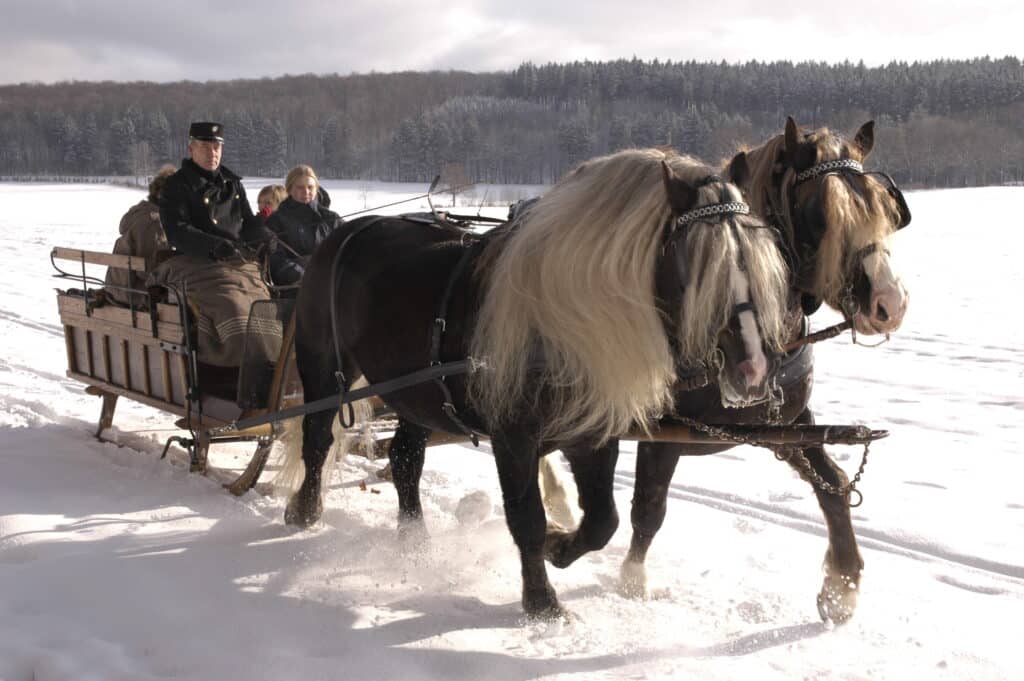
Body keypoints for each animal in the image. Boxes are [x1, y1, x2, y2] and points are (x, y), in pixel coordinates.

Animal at [288, 147, 790, 614]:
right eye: (696, 268)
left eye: (760, 260)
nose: (753, 371)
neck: (559, 324)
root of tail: (348, 232)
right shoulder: (513, 437)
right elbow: (525, 517)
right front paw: (542, 602)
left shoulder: (591, 435)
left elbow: (602, 521)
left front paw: (559, 546)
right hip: (322, 364)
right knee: (317, 437)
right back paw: (304, 509)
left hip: (417, 393)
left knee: (406, 459)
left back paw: (414, 541)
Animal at [614, 116, 913, 622]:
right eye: (821, 215)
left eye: (885, 208)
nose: (889, 304)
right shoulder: (663, 431)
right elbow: (649, 507)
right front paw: (632, 581)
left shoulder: (786, 425)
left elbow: (833, 486)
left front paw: (842, 584)